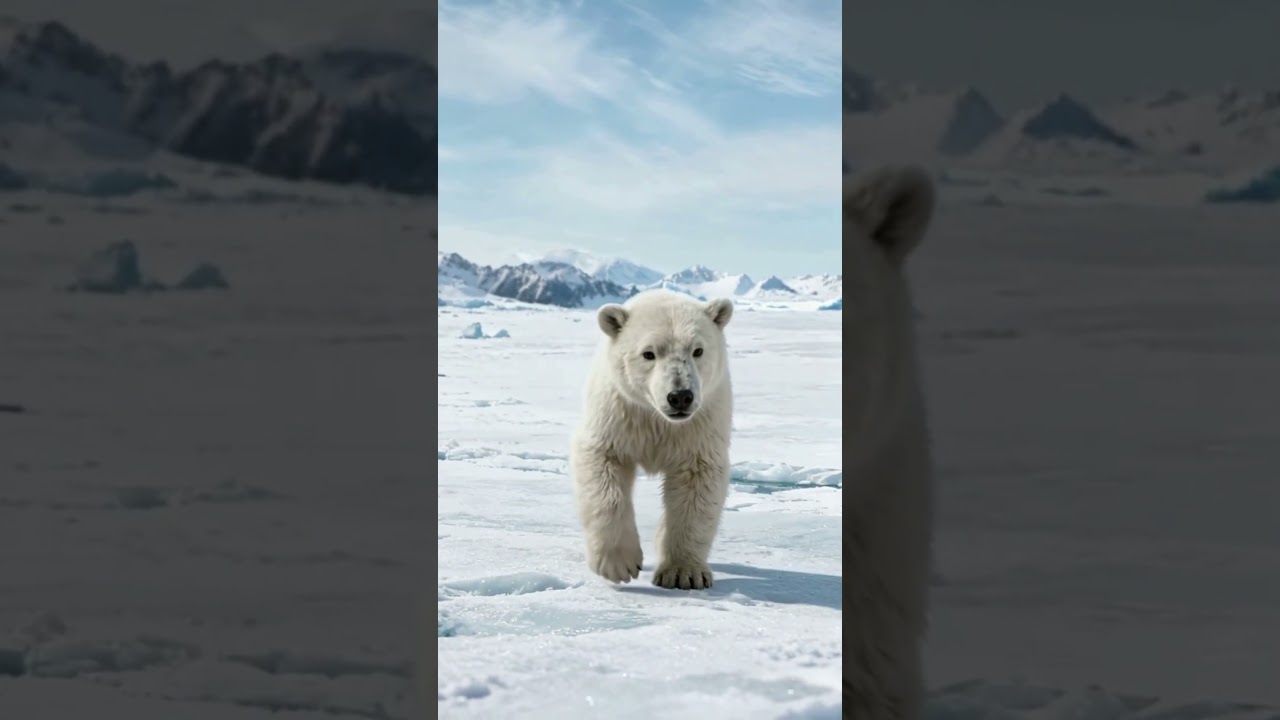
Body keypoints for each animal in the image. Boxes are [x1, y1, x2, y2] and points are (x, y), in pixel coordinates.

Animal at [570, 289, 735, 591]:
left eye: (698, 350)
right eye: (649, 353)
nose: (680, 396)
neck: (657, 418)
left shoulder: (698, 427)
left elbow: (697, 482)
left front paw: (684, 574)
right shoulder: (619, 414)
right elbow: (602, 470)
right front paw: (619, 564)